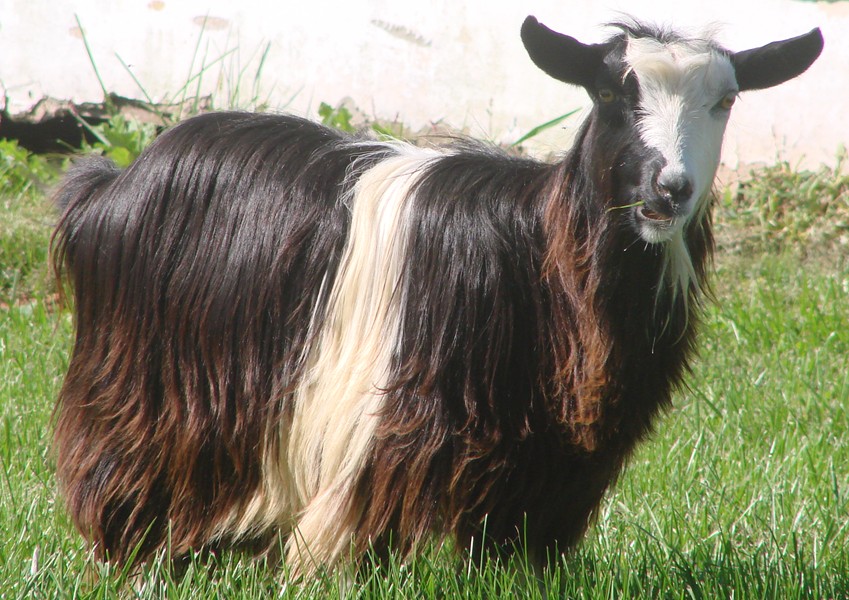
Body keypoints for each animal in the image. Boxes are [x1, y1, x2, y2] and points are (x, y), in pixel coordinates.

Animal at [51, 16, 823, 575]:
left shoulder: (554, 459)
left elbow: (517, 545)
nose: (669, 190)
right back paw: (135, 559)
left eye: (726, 101)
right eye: (609, 95)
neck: (537, 259)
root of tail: (111, 183)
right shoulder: (389, 414)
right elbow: (357, 518)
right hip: (148, 382)